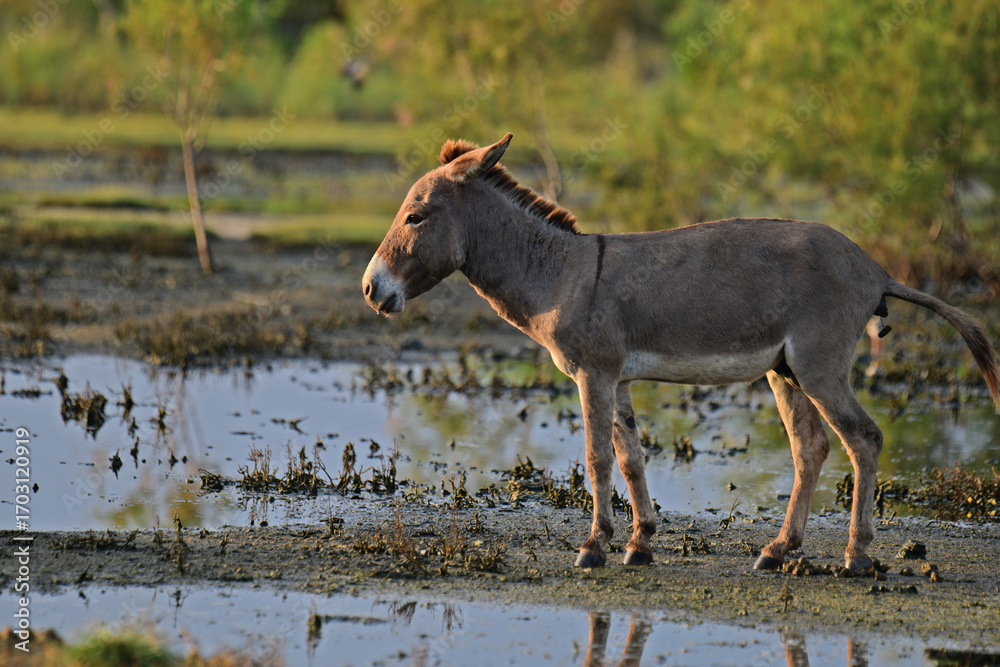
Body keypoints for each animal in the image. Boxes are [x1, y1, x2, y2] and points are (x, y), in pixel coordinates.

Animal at [362, 133, 999, 571]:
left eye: (415, 216)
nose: (371, 289)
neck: (562, 274)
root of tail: (874, 268)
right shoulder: (616, 378)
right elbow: (631, 458)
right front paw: (639, 544)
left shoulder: (593, 374)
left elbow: (596, 458)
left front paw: (592, 547)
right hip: (786, 370)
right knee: (811, 448)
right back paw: (777, 550)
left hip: (820, 367)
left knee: (863, 439)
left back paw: (857, 557)